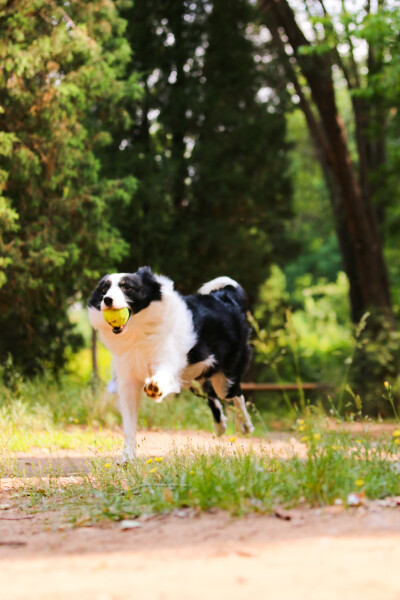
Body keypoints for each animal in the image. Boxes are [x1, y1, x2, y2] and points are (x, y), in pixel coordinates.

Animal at [89, 266, 255, 460]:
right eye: (103, 289)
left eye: (127, 287)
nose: (107, 300)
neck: (138, 330)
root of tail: (225, 297)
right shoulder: (128, 382)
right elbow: (129, 425)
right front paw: (127, 457)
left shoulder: (167, 363)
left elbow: (162, 377)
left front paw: (155, 388)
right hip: (193, 378)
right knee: (212, 396)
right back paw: (220, 425)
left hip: (225, 376)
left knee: (235, 394)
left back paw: (245, 425)